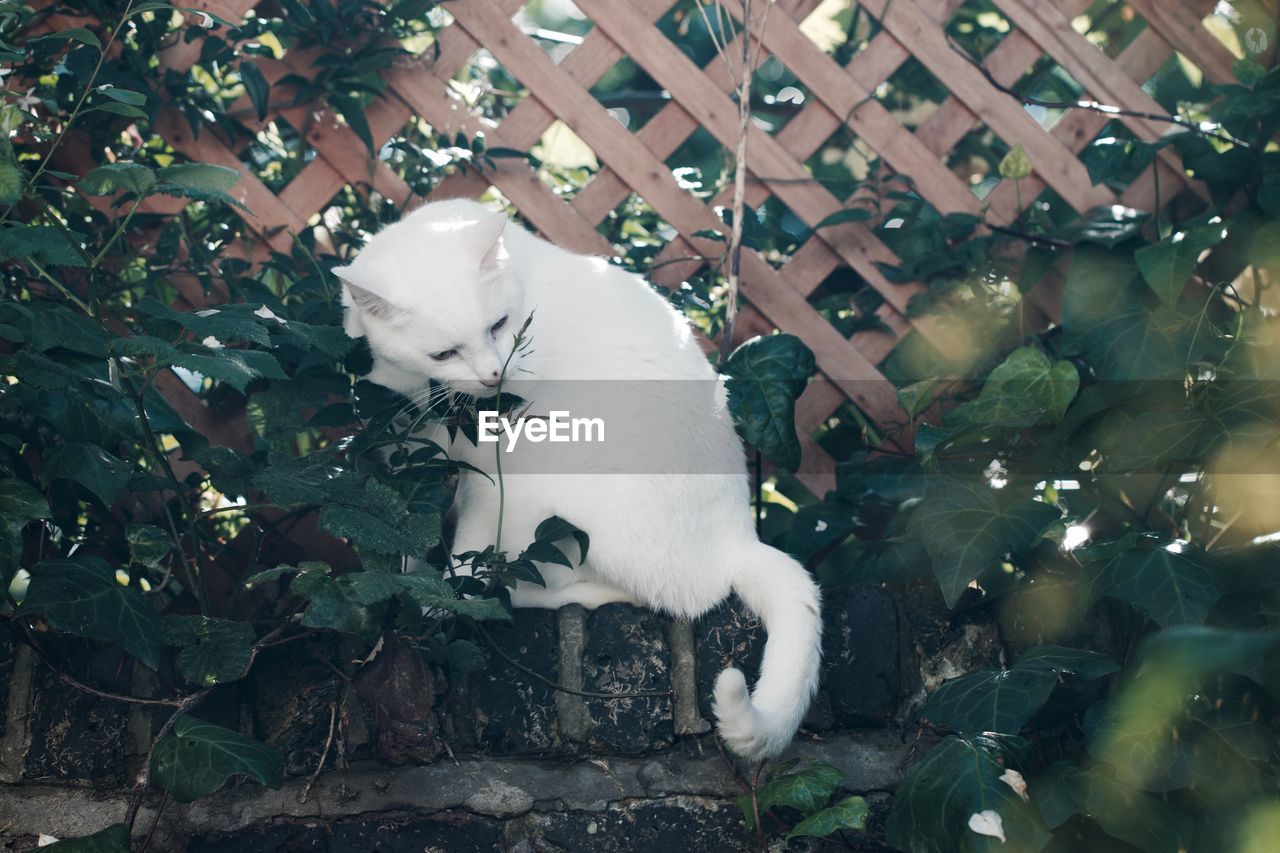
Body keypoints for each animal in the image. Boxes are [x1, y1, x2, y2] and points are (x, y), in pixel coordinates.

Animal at [335, 197, 824, 758]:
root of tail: (740, 536)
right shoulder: (409, 448)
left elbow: (470, 554)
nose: (493, 375)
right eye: (444, 353)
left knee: (661, 595)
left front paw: (444, 600)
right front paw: (406, 581)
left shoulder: (489, 475)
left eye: (500, 326)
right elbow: (404, 532)